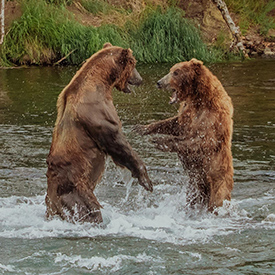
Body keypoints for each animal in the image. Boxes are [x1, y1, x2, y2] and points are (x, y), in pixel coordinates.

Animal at [45, 43, 153, 224]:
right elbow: (118, 143)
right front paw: (146, 181)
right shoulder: (99, 115)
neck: (101, 84)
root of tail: (52, 200)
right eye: (134, 63)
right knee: (89, 211)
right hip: (75, 191)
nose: (140, 79)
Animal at [137, 58, 234, 213]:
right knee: (192, 199)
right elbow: (173, 124)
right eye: (170, 70)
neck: (198, 98)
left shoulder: (212, 119)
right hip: (194, 186)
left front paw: (160, 141)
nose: (159, 82)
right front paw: (142, 128)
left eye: (176, 72)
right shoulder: (186, 114)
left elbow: (201, 141)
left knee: (216, 201)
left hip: (218, 184)